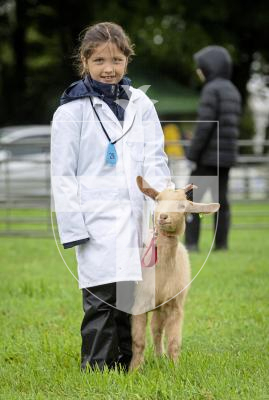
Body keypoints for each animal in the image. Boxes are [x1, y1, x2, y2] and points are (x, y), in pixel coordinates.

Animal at [129, 177, 219, 370]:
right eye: (157, 200)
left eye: (182, 206)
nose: (163, 217)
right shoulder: (140, 303)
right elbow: (138, 340)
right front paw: (135, 369)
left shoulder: (175, 305)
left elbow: (174, 341)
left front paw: (175, 368)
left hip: (162, 305)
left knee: (156, 329)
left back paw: (159, 357)